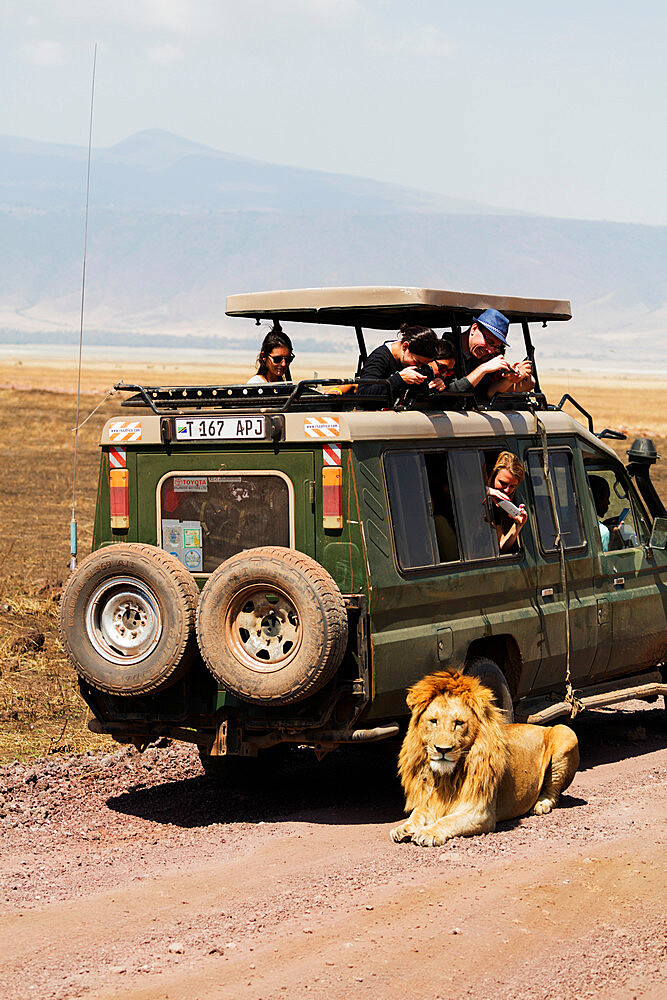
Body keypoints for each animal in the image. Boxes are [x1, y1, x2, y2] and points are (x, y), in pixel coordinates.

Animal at [392, 672, 580, 844]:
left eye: (459, 723)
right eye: (433, 721)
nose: (442, 750)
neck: (446, 777)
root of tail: (542, 726)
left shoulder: (480, 813)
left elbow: (447, 820)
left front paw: (428, 833)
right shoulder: (428, 801)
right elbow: (417, 814)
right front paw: (403, 828)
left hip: (566, 733)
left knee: (553, 791)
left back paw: (542, 804)